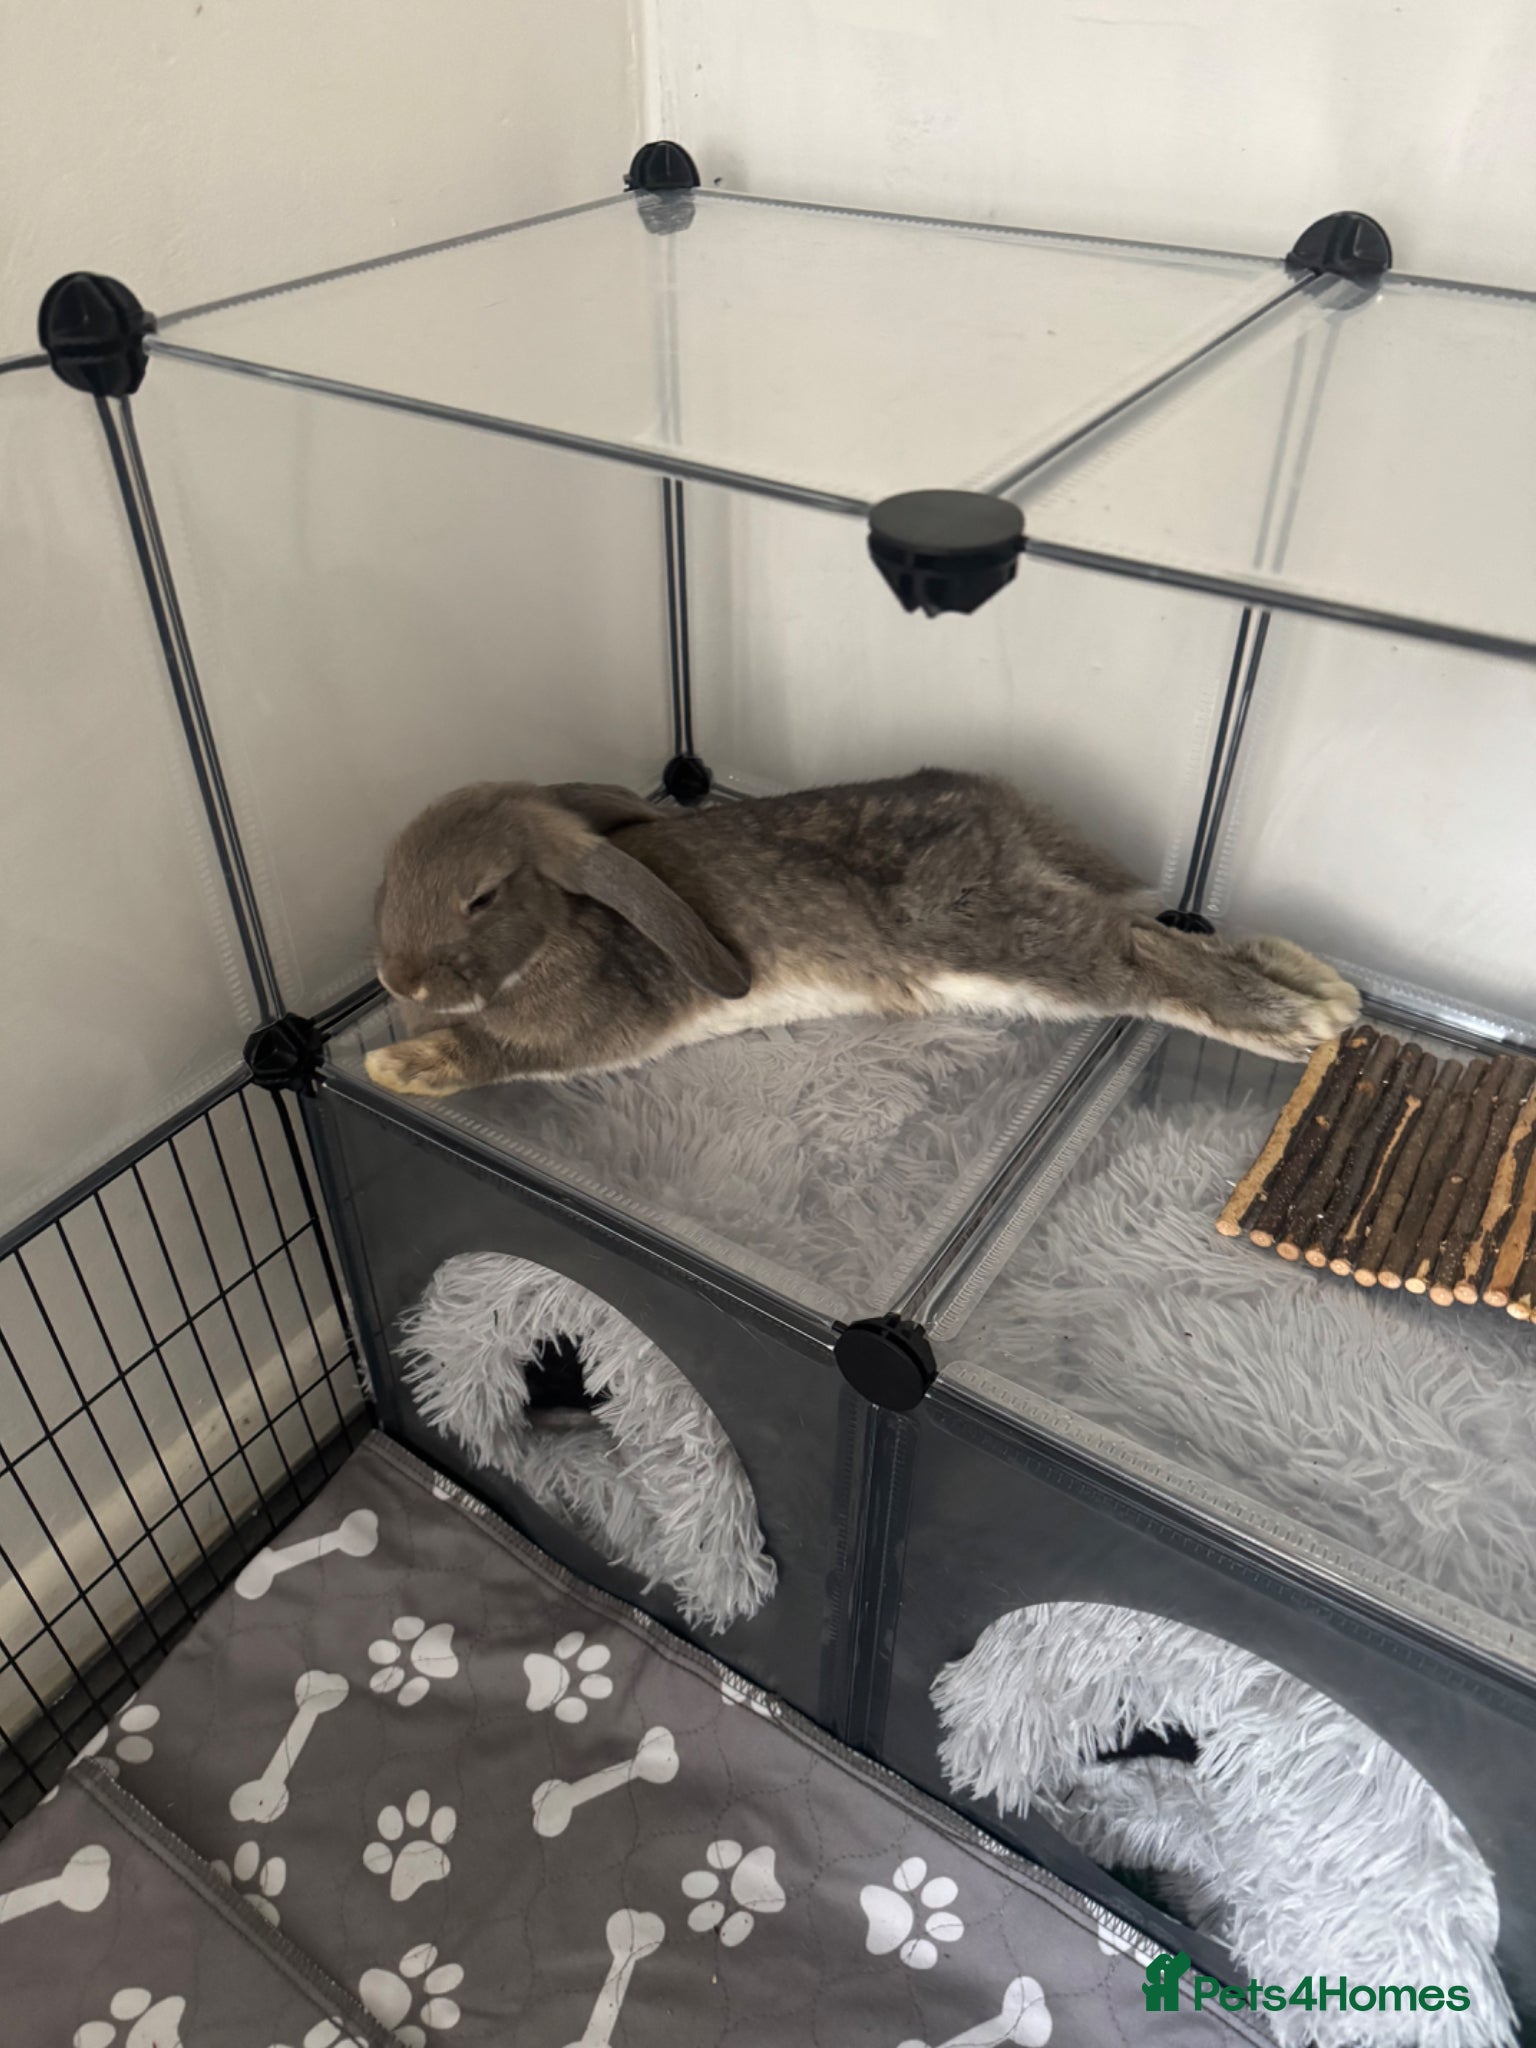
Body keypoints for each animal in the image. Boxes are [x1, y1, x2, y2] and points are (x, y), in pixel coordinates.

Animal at [363, 769, 1360, 1100]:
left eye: (482, 897)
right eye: (390, 874)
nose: (397, 982)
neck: (562, 929)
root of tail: (997, 815)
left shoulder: (587, 1025)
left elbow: (500, 1049)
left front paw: (401, 1066)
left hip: (986, 934)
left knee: (1140, 950)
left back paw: (1292, 1021)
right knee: (1154, 928)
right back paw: (1321, 984)